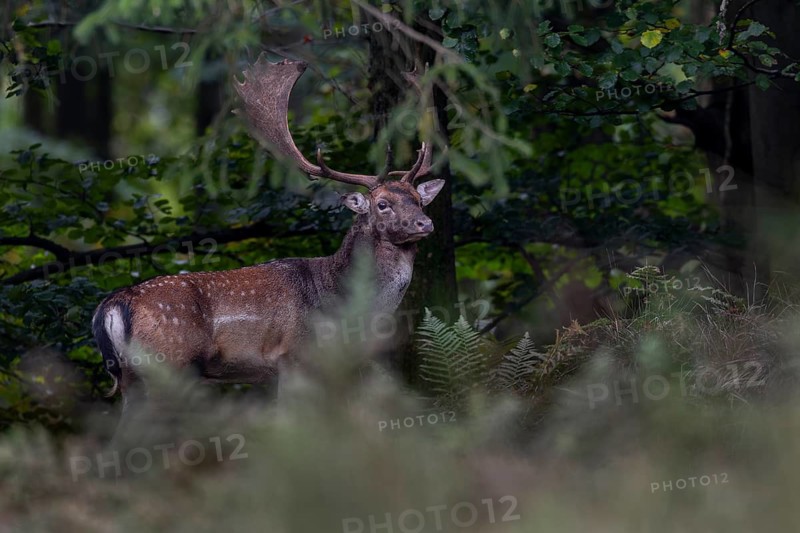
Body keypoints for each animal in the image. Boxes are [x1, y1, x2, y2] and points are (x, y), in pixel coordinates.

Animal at [91, 55, 445, 421]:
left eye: (418, 200)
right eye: (382, 204)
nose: (425, 222)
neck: (344, 306)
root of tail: (111, 307)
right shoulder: (293, 355)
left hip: (134, 378)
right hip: (170, 364)